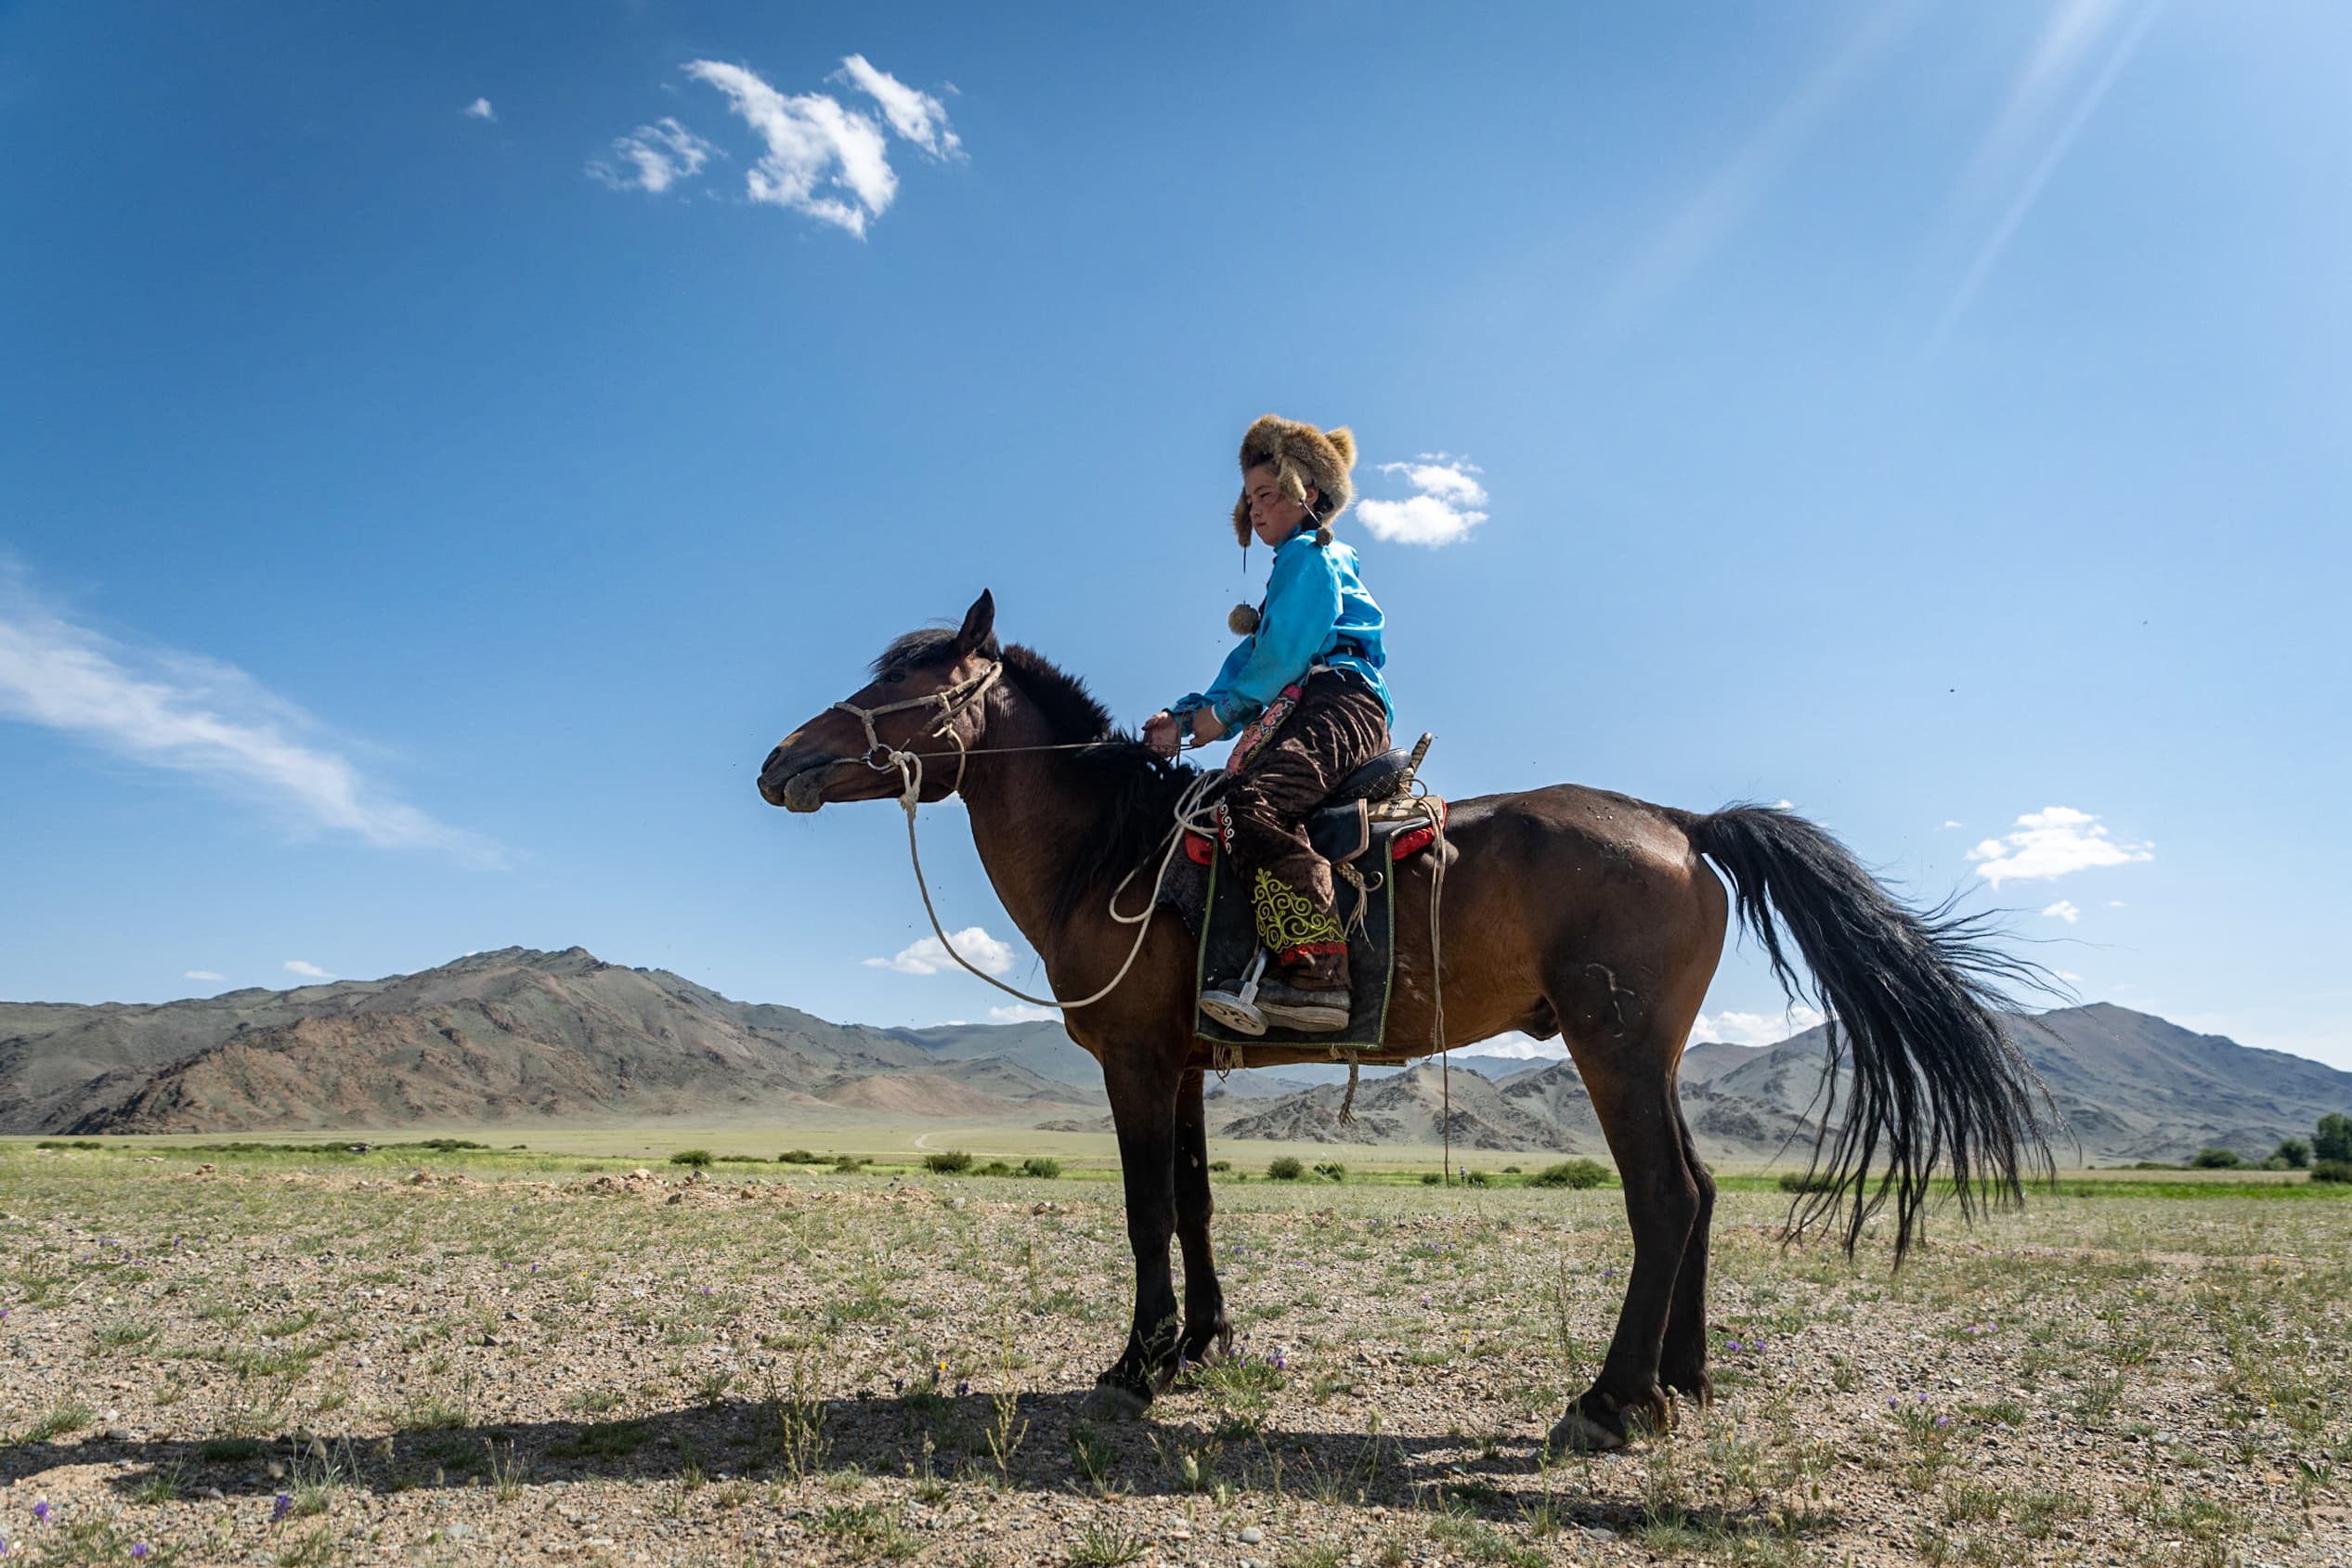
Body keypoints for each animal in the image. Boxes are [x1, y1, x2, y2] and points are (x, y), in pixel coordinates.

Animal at [756, 590, 2050, 1452]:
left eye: (903, 690)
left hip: (1614, 1048)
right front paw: (1203, 1346)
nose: (781, 763)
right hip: (1654, 1055)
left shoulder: (1132, 1057)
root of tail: (1681, 823)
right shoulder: (1186, 1059)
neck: (1109, 851)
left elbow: (1142, 1210)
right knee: (1701, 1188)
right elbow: (1196, 1201)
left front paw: (1136, 1361)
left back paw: (1609, 1403)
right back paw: (1680, 1387)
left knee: (1665, 1198)